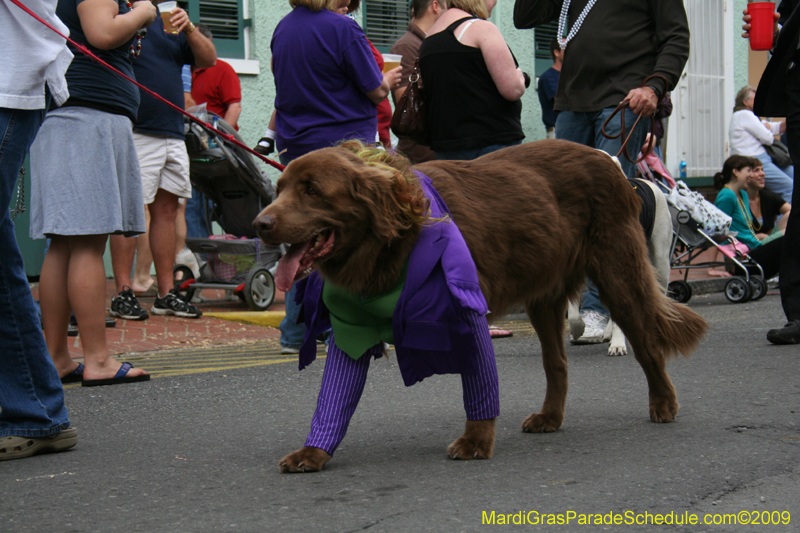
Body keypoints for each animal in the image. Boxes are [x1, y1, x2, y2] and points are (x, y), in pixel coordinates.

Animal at [255, 140, 708, 470]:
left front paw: (476, 441)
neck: (396, 238)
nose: (260, 224)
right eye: (280, 190)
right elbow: (333, 399)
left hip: (620, 274)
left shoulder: (466, 309)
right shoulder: (354, 327)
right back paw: (551, 417)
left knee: (647, 344)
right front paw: (314, 453)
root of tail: (613, 164)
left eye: (313, 190)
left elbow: (478, 385)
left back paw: (663, 403)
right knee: (557, 362)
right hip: (544, 298)